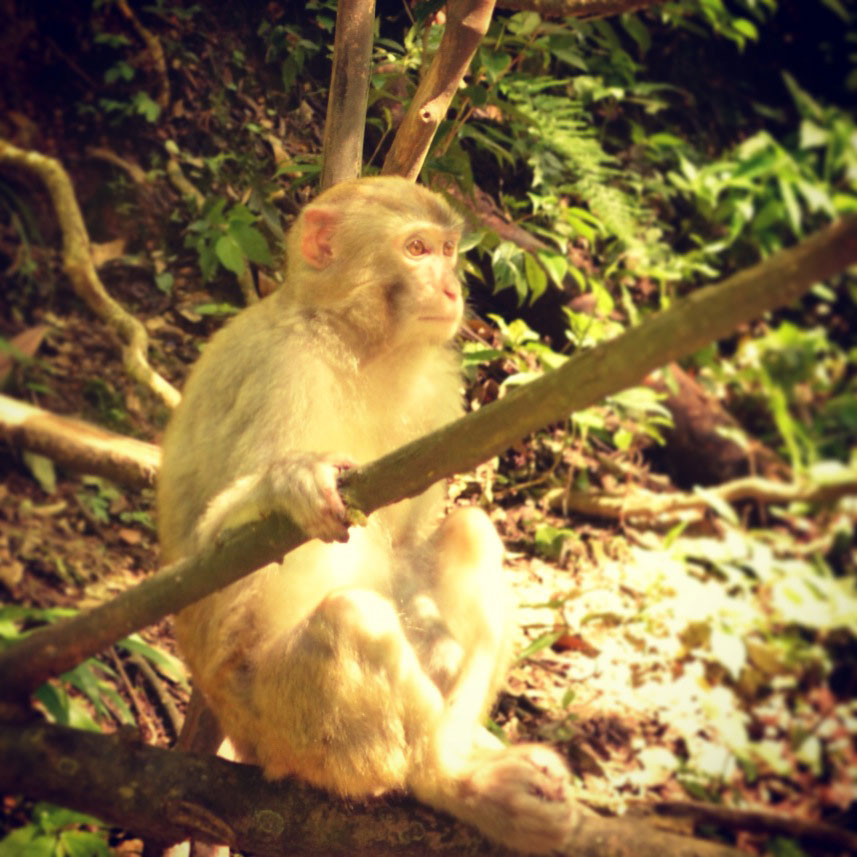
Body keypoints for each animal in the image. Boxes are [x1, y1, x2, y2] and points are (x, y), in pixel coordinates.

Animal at [157, 176, 576, 854]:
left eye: (448, 250)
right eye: (415, 249)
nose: (452, 288)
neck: (355, 344)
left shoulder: (437, 388)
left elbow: (408, 546)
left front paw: (445, 654)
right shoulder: (279, 372)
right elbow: (207, 566)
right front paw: (285, 486)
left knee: (470, 532)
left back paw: (466, 751)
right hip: (286, 726)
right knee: (352, 620)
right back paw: (448, 781)